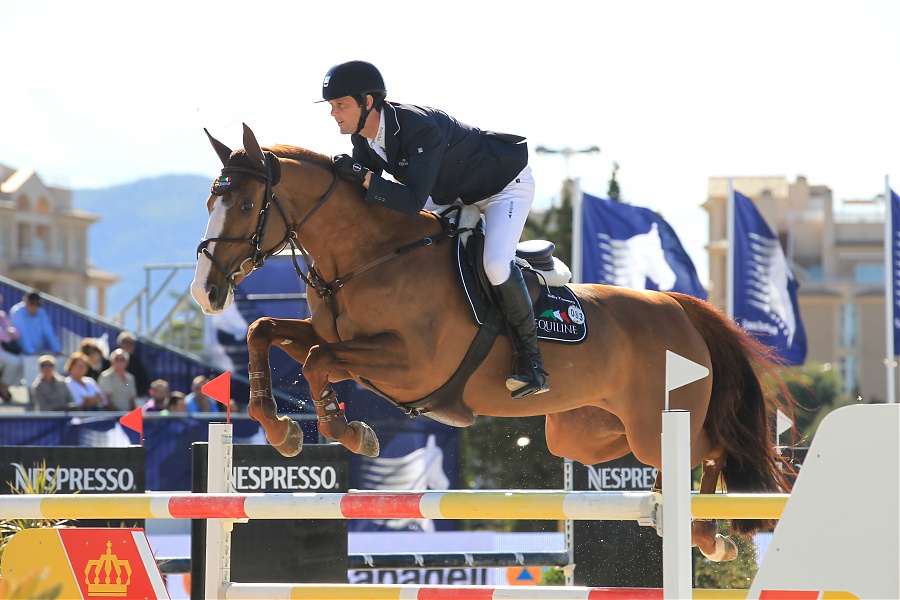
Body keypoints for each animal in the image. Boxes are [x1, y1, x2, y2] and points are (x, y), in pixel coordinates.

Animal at [190, 124, 796, 562]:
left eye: (244, 206)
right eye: (209, 202)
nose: (205, 291)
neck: (370, 254)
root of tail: (679, 307)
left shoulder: (411, 365)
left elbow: (318, 361)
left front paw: (350, 433)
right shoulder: (341, 342)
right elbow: (268, 333)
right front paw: (283, 429)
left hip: (657, 426)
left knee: (713, 449)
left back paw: (712, 536)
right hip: (585, 433)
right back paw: (694, 526)